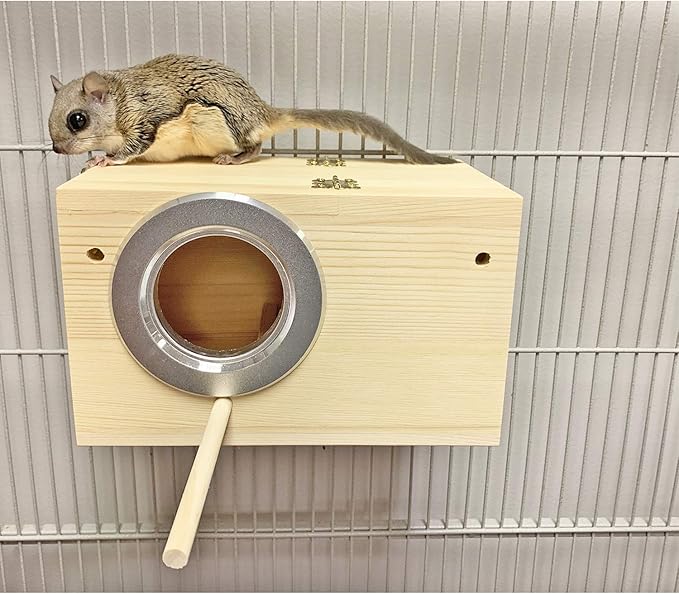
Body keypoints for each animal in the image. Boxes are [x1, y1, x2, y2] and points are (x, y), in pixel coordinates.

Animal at [48, 54, 459, 169]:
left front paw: (103, 159)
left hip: (220, 121)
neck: (121, 98)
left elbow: (132, 147)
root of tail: (263, 112)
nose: (55, 149)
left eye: (77, 120)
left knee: (256, 147)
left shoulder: (146, 118)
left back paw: (234, 159)